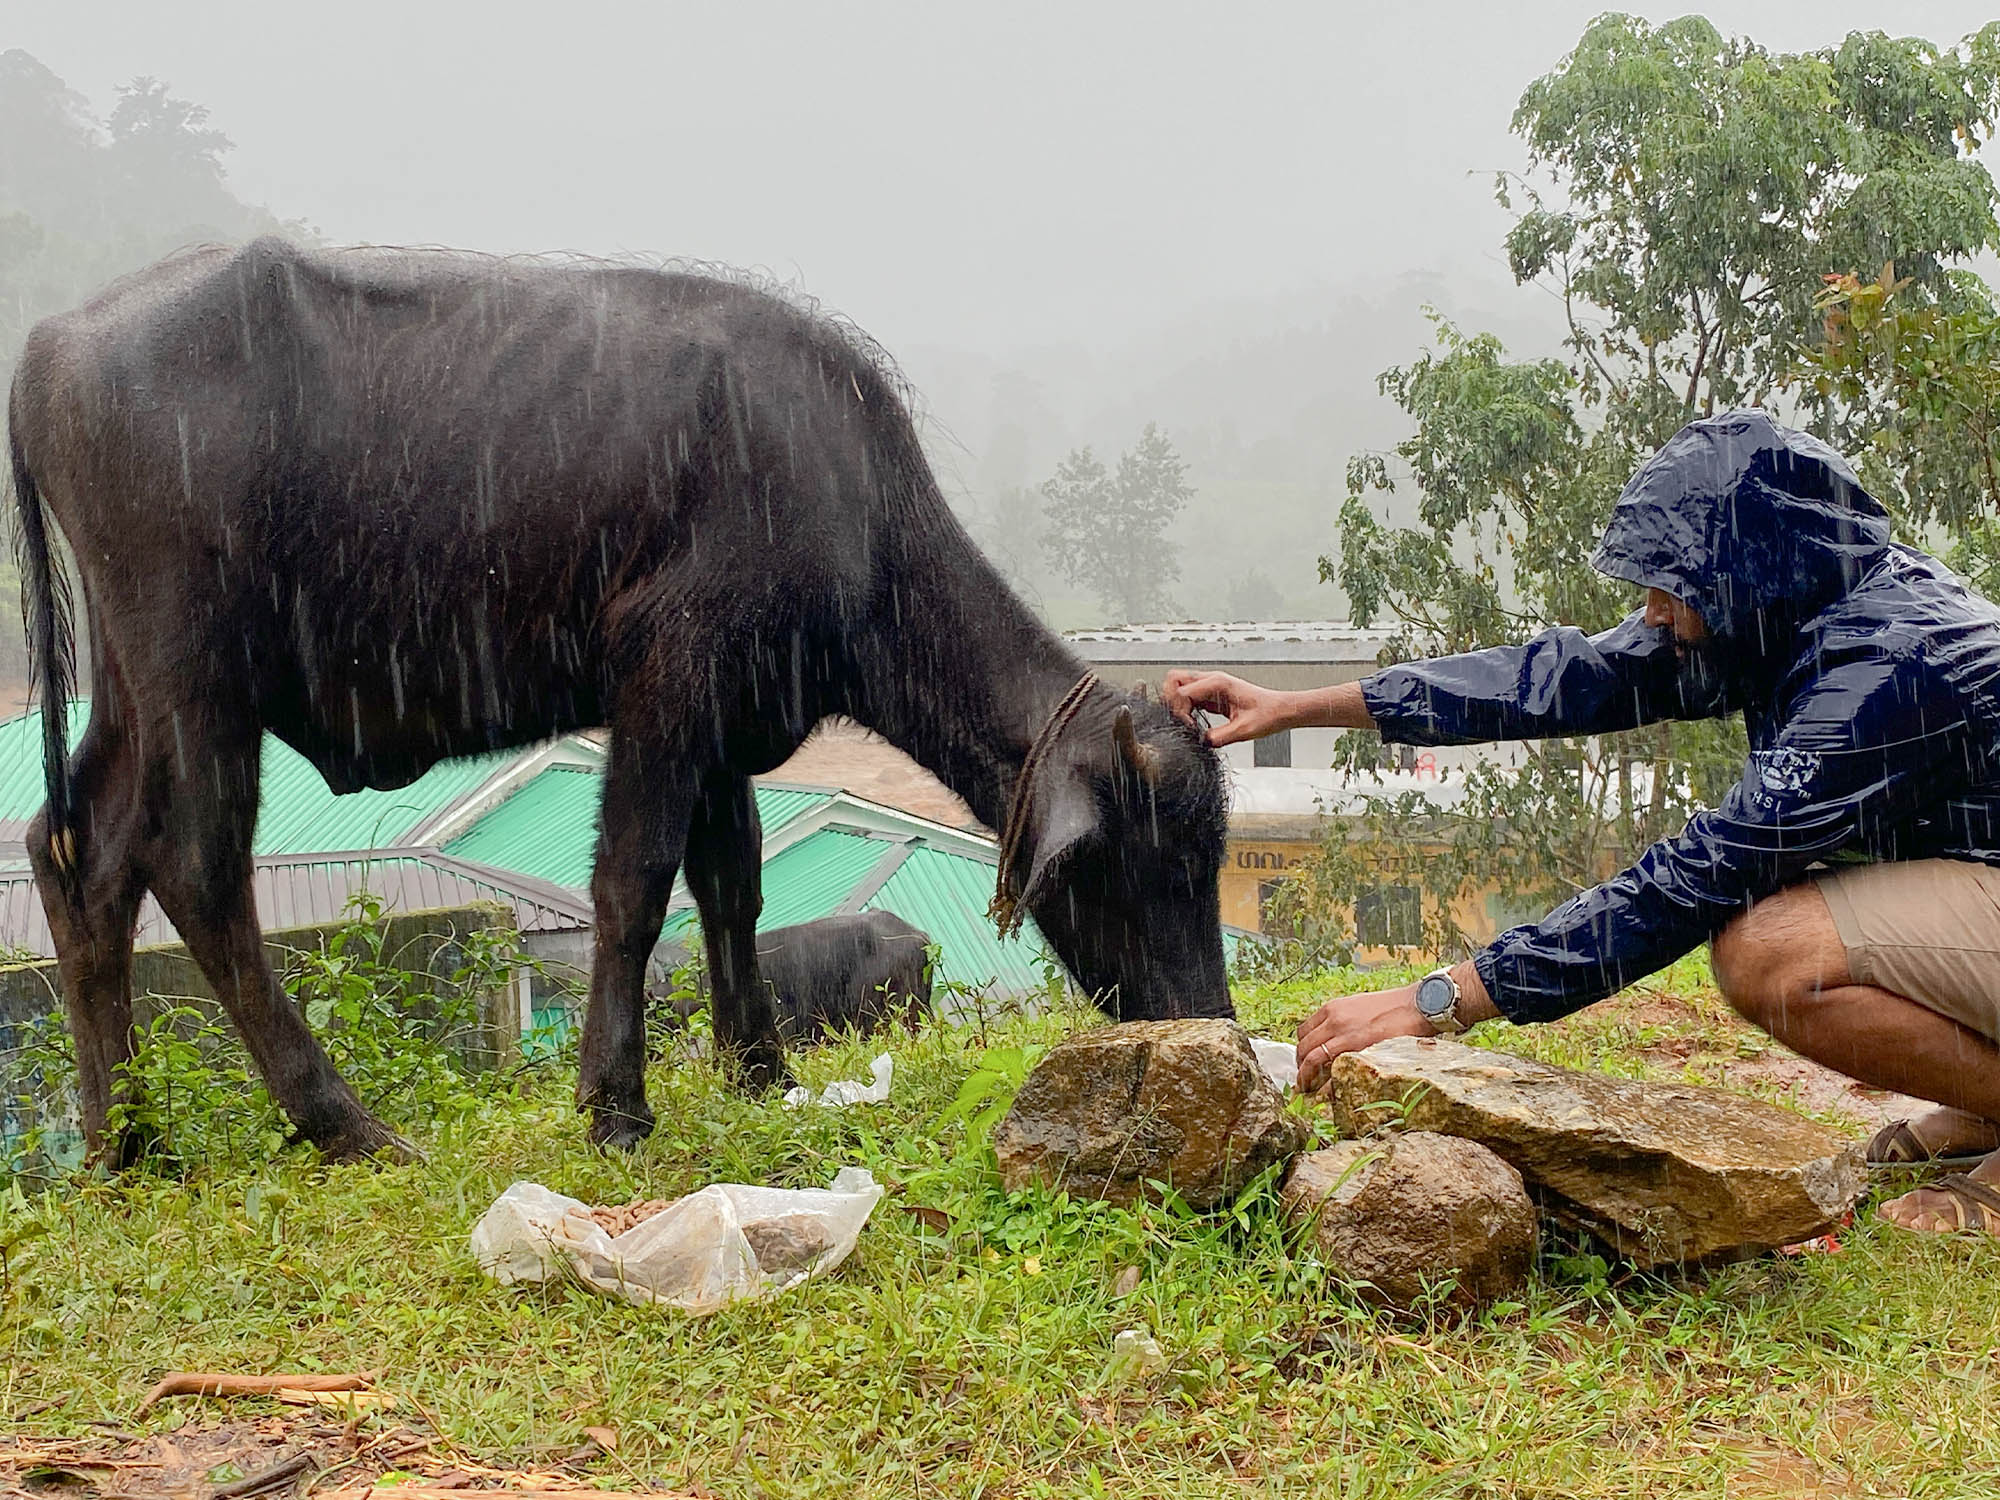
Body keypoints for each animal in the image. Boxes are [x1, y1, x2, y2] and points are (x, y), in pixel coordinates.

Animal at [7, 239, 1231, 1165]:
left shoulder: (726, 720)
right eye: (1156, 856)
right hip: (196, 672)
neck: (844, 500)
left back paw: (130, 1143)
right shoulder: (665, 682)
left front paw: (757, 1067)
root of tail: (52, 345)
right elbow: (635, 883)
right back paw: (341, 1122)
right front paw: (615, 1103)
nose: (1209, 1022)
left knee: (84, 855)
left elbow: (732, 883)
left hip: (132, 679)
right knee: (196, 867)